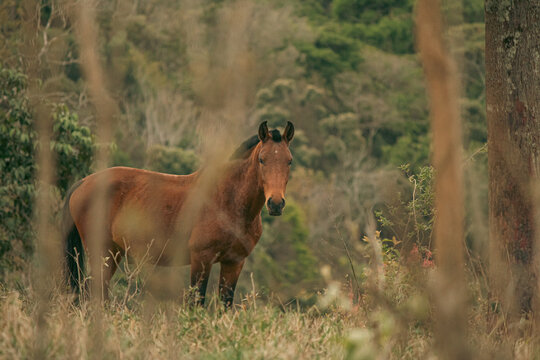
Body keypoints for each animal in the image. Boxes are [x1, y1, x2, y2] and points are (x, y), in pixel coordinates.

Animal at [63, 121, 296, 306]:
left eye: (289, 160)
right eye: (262, 159)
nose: (276, 204)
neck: (227, 201)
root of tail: (82, 183)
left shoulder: (234, 263)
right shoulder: (201, 259)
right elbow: (196, 303)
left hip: (113, 254)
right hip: (101, 252)